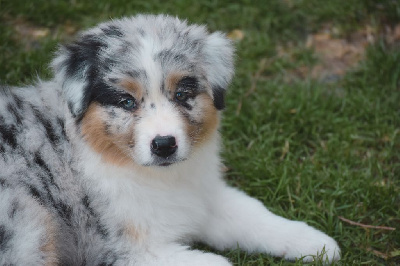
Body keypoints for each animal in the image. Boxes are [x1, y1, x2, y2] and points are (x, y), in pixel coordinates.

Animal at [0, 15, 340, 266]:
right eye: (126, 101)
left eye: (181, 94)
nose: (164, 145)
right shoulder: (127, 251)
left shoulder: (202, 196)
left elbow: (252, 213)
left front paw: (316, 243)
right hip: (29, 227)